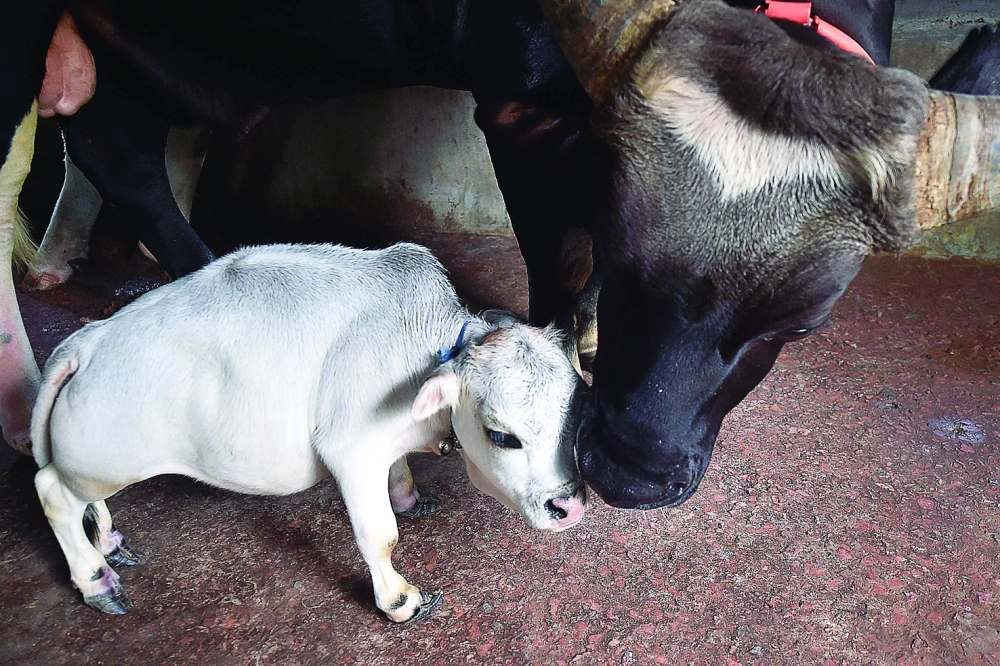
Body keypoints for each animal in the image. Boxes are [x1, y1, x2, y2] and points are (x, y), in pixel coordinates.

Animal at [3, 0, 1000, 511]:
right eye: (628, 250)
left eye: (801, 321)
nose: (630, 474)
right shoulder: (524, 112)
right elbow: (558, 263)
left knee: (114, 148)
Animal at [31, 242, 587, 621]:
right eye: (502, 436)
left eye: (575, 418)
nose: (571, 506)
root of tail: (86, 340)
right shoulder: (351, 447)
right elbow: (380, 534)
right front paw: (399, 600)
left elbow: (399, 475)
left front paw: (409, 496)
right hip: (106, 459)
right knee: (53, 491)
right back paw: (96, 580)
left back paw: (106, 541)